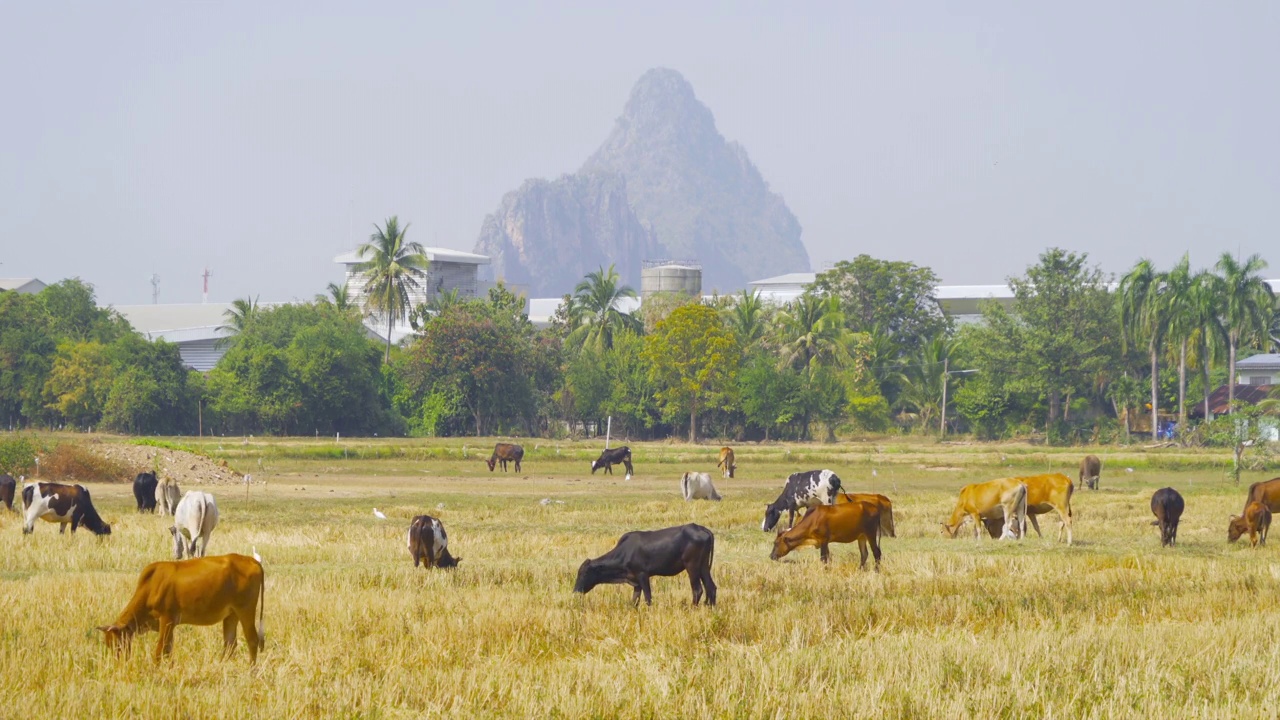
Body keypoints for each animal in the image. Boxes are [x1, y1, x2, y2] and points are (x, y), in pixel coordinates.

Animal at [98, 550, 266, 666]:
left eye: (117, 643)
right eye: (108, 644)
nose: (118, 663)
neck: (151, 586)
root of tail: (252, 560)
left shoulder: (166, 620)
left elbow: (160, 649)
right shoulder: (170, 625)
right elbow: (168, 650)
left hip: (245, 610)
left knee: (252, 640)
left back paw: (251, 670)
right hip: (231, 615)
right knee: (230, 643)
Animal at [576, 520, 716, 604]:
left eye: (583, 573)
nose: (575, 591)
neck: (625, 551)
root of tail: (700, 528)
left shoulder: (642, 575)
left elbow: (648, 598)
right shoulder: (636, 581)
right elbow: (634, 601)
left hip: (692, 566)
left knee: (697, 590)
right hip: (703, 566)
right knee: (711, 587)